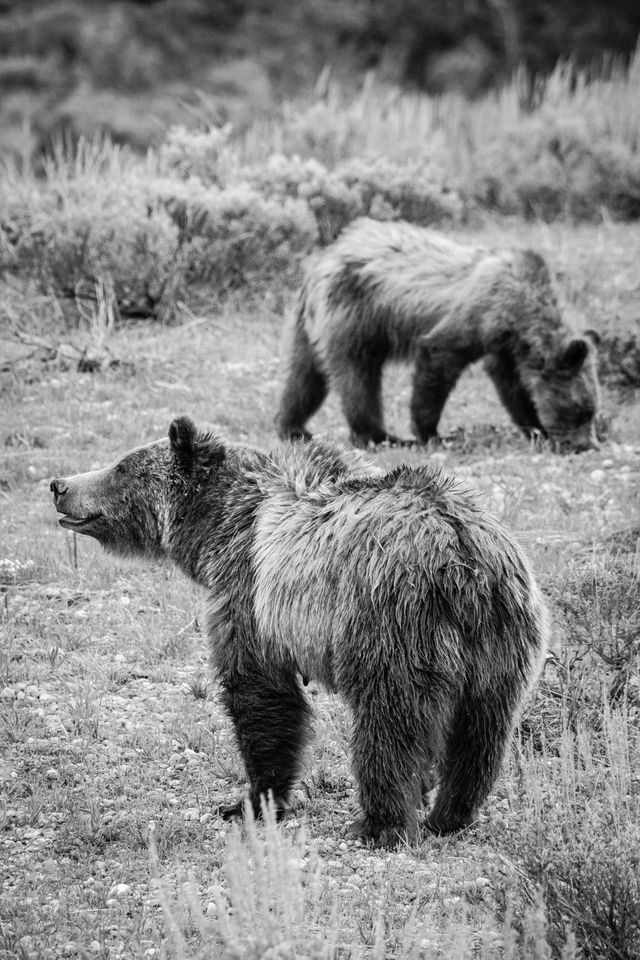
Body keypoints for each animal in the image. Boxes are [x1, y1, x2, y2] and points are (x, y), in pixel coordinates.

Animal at [51, 420, 552, 848]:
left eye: (121, 467)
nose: (59, 485)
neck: (221, 523)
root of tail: (461, 553)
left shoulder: (248, 593)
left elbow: (261, 696)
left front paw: (250, 800)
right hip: (502, 642)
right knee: (481, 731)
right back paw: (450, 814)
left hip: (391, 622)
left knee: (390, 725)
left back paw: (378, 824)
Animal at [276, 219, 600, 452]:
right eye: (581, 411)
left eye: (591, 411)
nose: (587, 445)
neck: (522, 312)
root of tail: (324, 257)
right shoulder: (479, 315)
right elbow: (439, 358)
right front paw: (429, 433)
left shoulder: (503, 344)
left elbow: (511, 385)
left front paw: (535, 429)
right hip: (355, 314)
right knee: (357, 375)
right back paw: (378, 435)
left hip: (309, 322)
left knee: (304, 375)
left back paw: (293, 427)